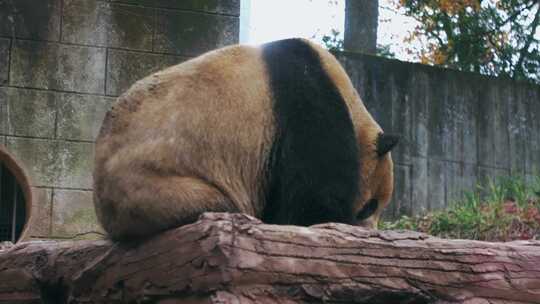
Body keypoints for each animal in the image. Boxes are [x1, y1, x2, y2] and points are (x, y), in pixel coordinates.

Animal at [93, 38, 398, 241]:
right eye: (371, 206)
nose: (369, 229)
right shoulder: (305, 102)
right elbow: (313, 192)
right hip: (157, 184)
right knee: (214, 204)